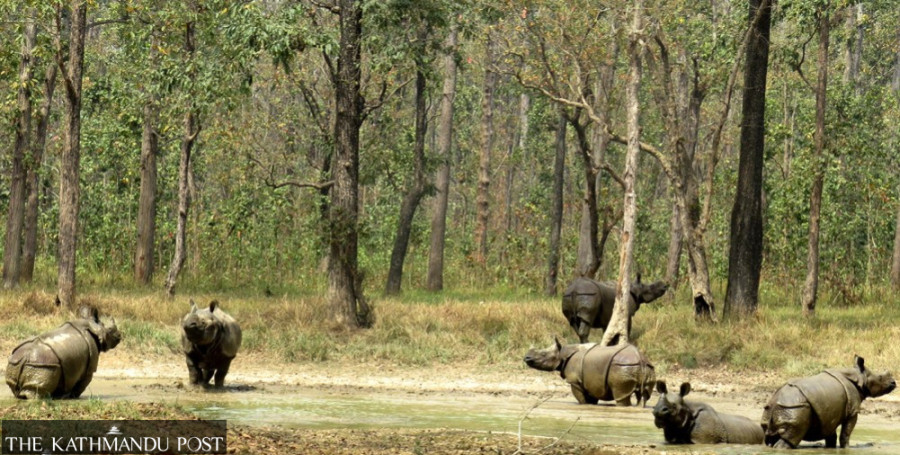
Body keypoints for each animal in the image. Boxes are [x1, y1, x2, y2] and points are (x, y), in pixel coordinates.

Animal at [524, 338, 655, 406]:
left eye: (543, 354)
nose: (526, 358)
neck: (562, 353)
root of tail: (640, 358)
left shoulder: (575, 381)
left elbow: (581, 398)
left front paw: (584, 405)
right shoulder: (591, 381)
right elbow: (592, 397)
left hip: (621, 367)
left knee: (621, 395)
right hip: (647, 368)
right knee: (643, 395)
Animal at [761, 356, 896, 449]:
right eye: (880, 378)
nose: (894, 383)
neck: (859, 376)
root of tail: (775, 403)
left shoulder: (829, 413)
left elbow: (831, 433)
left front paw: (830, 448)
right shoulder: (852, 410)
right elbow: (846, 432)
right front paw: (847, 448)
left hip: (777, 409)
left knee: (770, 439)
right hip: (794, 407)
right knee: (791, 437)